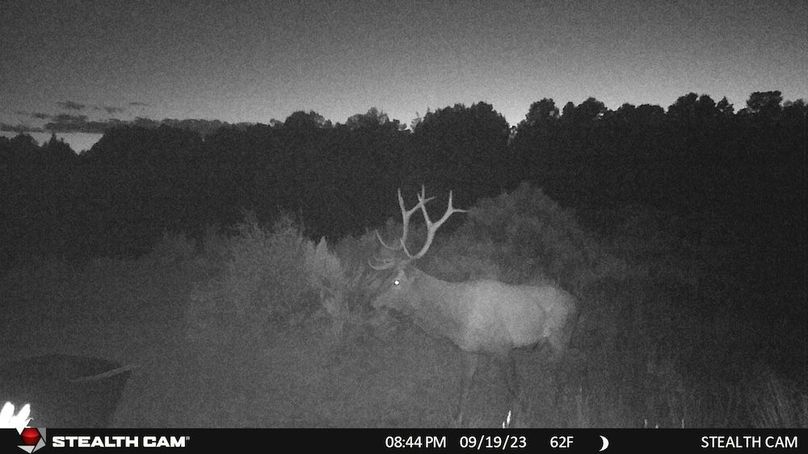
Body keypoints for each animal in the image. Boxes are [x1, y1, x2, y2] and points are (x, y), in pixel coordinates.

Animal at [369, 186, 578, 425]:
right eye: (385, 276)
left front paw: (521, 416)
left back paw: (557, 408)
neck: (455, 318)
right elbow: (465, 386)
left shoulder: (503, 346)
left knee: (561, 375)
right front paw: (458, 418)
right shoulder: (469, 349)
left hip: (561, 336)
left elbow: (514, 389)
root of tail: (577, 303)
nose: (372, 301)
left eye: (396, 282)